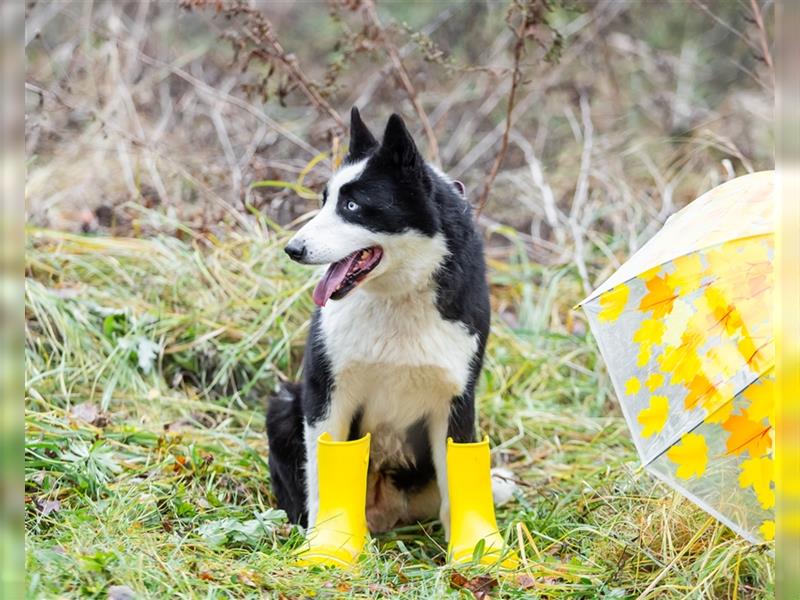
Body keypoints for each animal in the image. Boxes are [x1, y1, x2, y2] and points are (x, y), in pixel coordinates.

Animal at [268, 109, 490, 540]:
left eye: (353, 205)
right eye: (325, 202)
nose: (292, 249)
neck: (398, 298)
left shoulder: (456, 400)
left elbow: (456, 485)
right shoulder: (328, 392)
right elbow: (322, 474)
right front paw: (323, 542)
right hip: (284, 404)